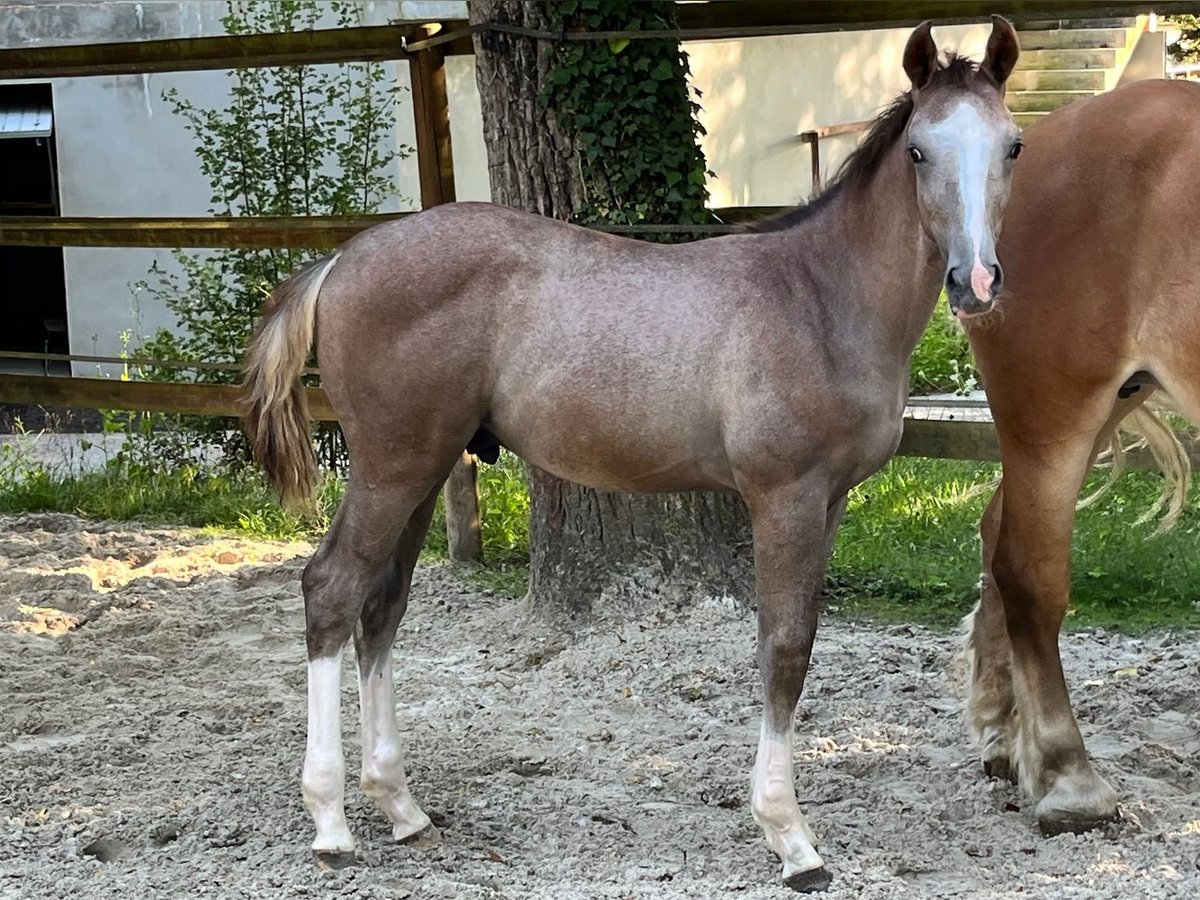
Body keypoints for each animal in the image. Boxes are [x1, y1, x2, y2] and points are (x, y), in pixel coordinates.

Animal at [241, 21, 1022, 897]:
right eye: (920, 150)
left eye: (1013, 145)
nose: (976, 280)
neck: (819, 297)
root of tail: (342, 261)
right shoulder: (783, 496)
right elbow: (784, 647)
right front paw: (791, 840)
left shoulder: (833, 499)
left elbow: (803, 640)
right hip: (392, 467)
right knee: (331, 590)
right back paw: (332, 824)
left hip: (420, 470)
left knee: (381, 607)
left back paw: (401, 807)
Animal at [960, 77, 1200, 840]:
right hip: (1053, 413)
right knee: (1026, 571)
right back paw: (1069, 778)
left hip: (1112, 400)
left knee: (994, 532)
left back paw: (1005, 738)